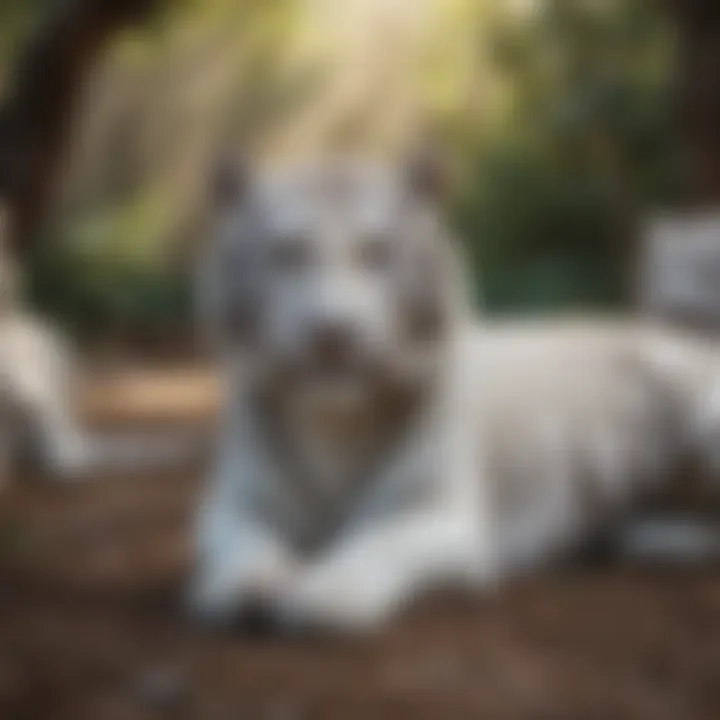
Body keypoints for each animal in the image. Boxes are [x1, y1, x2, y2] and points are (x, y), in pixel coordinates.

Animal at [190, 156, 720, 632]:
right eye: (288, 254)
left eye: (377, 253)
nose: (333, 333)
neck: (337, 420)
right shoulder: (233, 505)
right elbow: (245, 544)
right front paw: (246, 587)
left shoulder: (443, 516)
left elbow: (378, 540)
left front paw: (326, 594)